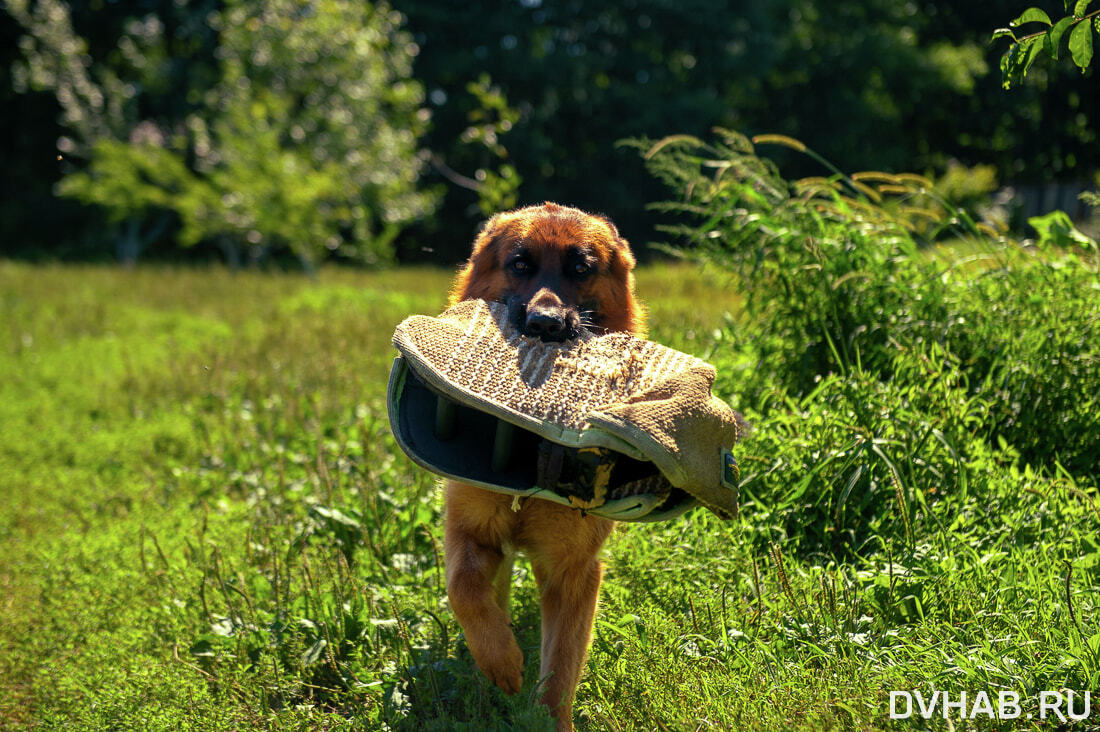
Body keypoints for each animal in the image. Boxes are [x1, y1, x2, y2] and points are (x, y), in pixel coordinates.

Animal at [442, 200, 642, 726]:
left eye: (581, 269)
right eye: (519, 264)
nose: (546, 324)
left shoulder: (571, 572)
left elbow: (559, 672)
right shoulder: (470, 533)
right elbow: (463, 587)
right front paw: (500, 660)